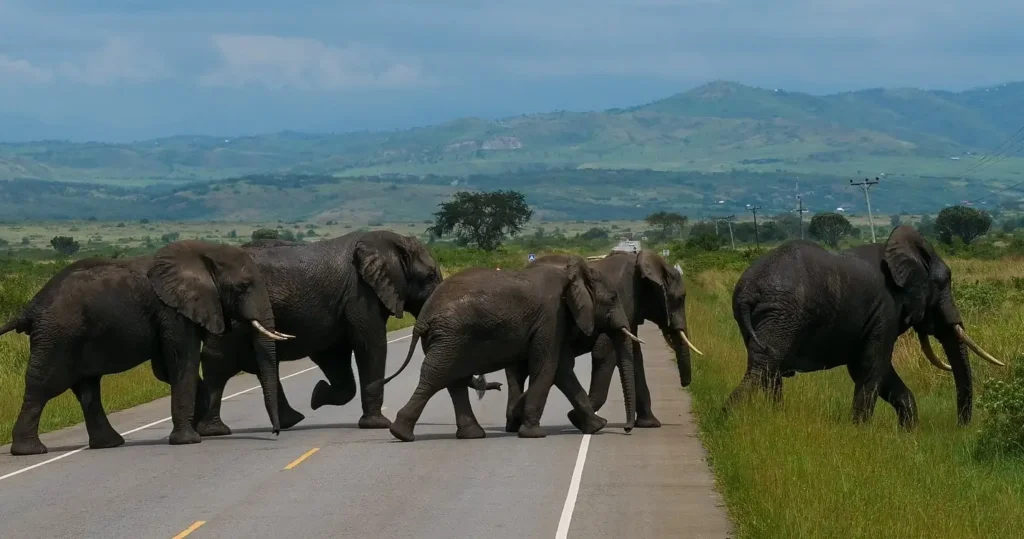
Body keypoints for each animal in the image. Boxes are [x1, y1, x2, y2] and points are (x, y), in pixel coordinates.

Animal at [0, 240, 291, 456]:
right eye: (243, 287)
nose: (276, 432)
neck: (201, 254)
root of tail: (31, 306)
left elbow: (166, 369)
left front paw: (201, 428)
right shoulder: (172, 311)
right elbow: (182, 362)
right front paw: (190, 439)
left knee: (87, 387)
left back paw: (109, 444)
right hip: (58, 335)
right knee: (44, 385)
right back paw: (30, 450)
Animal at [195, 230, 443, 436]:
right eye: (430, 276)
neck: (391, 241)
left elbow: (334, 356)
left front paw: (317, 395)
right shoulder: (360, 294)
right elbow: (371, 345)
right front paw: (377, 425)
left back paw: (290, 421)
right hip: (233, 313)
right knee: (220, 361)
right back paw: (215, 431)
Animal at [368, 256, 645, 442]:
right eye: (613, 299)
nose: (627, 429)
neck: (575, 274)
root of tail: (423, 318)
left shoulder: (558, 321)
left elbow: (562, 371)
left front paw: (597, 426)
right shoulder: (551, 316)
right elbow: (547, 368)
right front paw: (534, 434)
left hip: (448, 339)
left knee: (452, 381)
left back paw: (471, 435)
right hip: (451, 336)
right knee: (436, 377)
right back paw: (402, 433)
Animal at [479, 249, 703, 432]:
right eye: (680, 298)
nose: (685, 384)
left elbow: (634, 355)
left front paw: (649, 424)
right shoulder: (623, 301)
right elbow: (605, 351)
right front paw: (575, 418)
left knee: (518, 372)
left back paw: (512, 424)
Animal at [724, 225, 1004, 429]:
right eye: (945, 282)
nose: (961, 428)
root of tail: (748, 289)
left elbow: (881, 370)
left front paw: (907, 434)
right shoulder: (886, 309)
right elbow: (870, 364)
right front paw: (860, 432)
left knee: (769, 369)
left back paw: (774, 417)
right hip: (782, 313)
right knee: (763, 366)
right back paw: (729, 417)